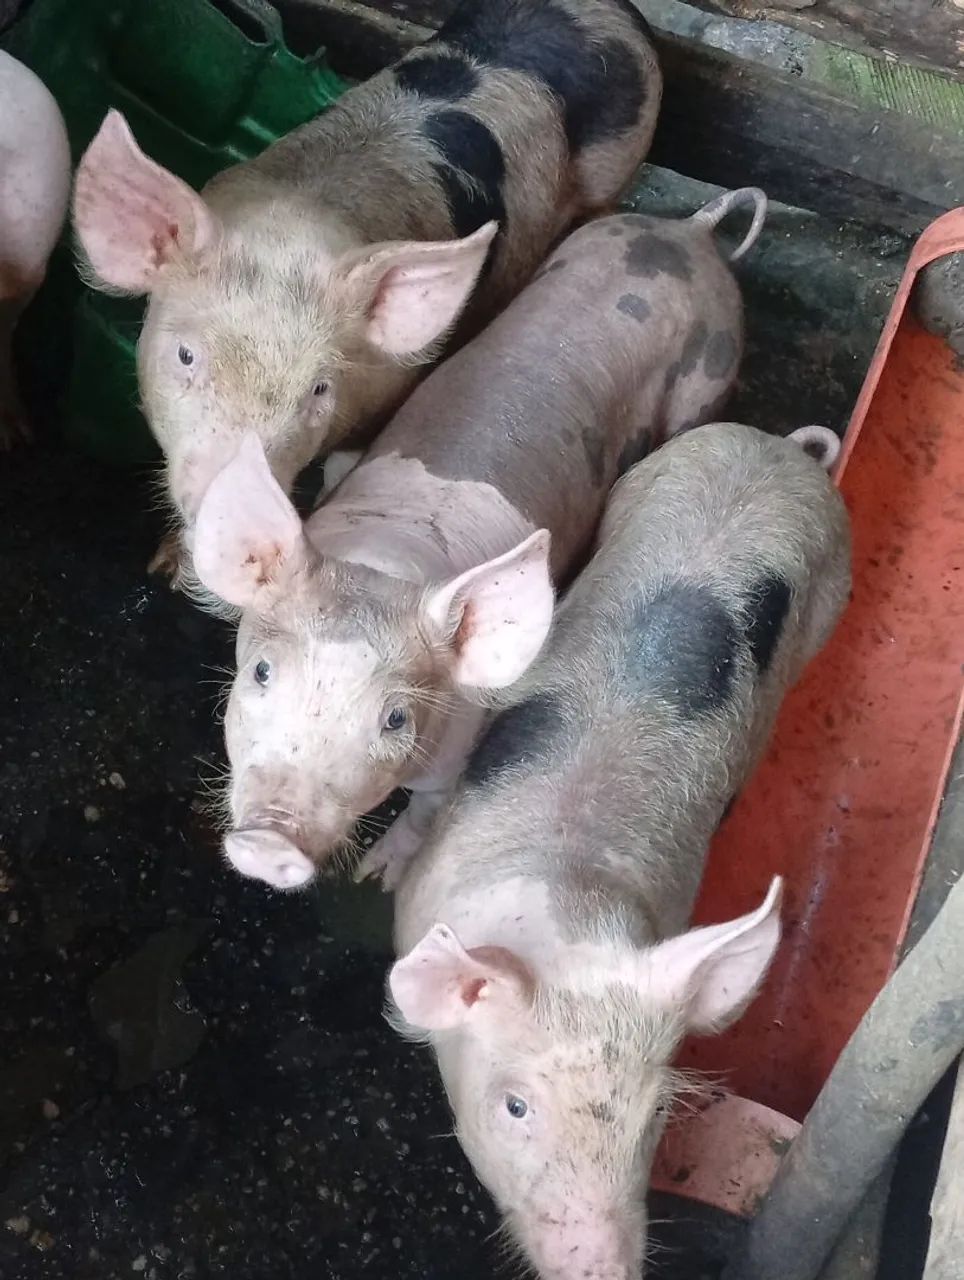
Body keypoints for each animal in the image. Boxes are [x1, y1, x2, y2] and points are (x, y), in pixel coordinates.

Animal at [70, 0, 662, 584]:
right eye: (186, 355)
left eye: (319, 389)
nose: (239, 513)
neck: (302, 214)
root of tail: (619, 11)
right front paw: (166, 567)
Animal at [190, 188, 770, 892]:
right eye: (262, 671)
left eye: (395, 718)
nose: (270, 840)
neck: (386, 561)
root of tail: (695, 232)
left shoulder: (460, 741)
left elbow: (425, 810)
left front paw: (377, 880)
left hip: (708, 382)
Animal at [388, 420, 852, 1280]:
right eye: (516, 1105)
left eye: (656, 1113)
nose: (603, 1267)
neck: (564, 904)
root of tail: (782, 451)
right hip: (641, 485)